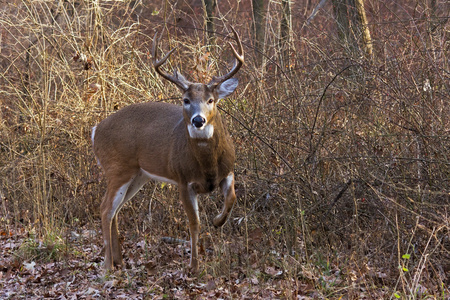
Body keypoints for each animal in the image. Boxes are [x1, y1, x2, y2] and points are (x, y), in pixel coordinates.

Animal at [92, 27, 244, 272]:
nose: (198, 120)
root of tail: (95, 130)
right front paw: (194, 266)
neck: (207, 164)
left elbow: (232, 198)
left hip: (139, 175)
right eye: (185, 100)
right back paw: (107, 265)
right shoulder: (183, 180)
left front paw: (217, 221)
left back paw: (119, 260)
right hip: (117, 168)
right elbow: (194, 222)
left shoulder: (228, 170)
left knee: (115, 209)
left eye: (211, 100)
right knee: (106, 208)